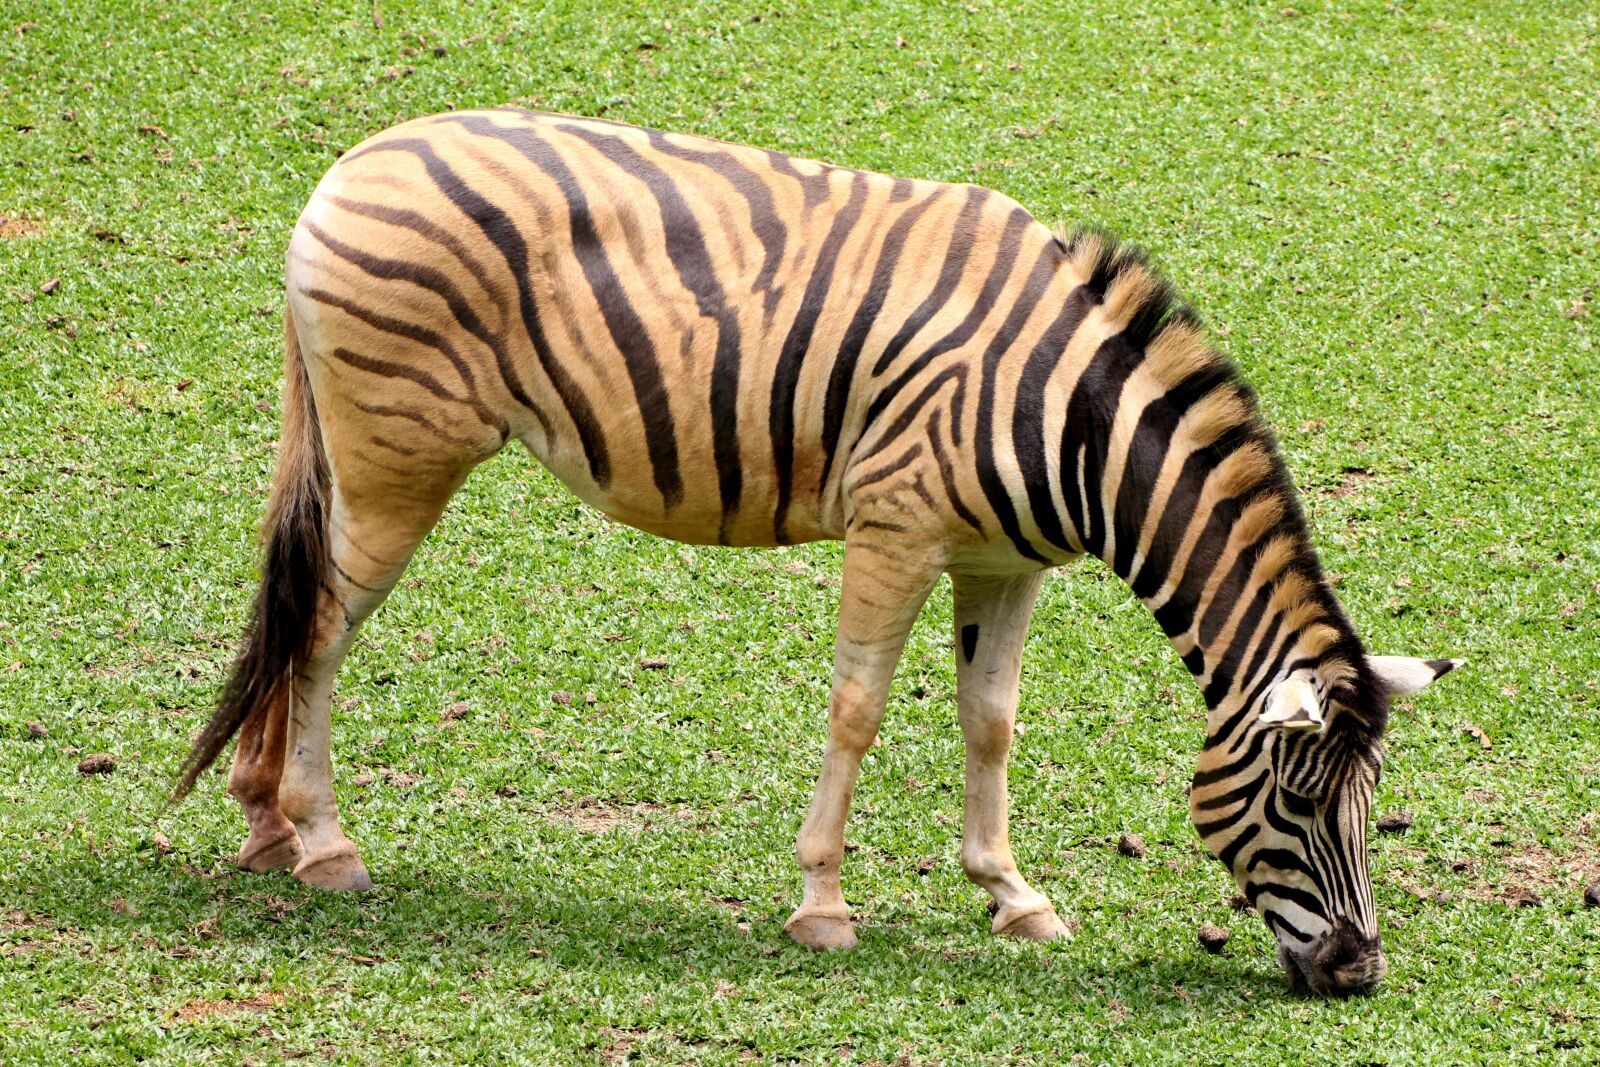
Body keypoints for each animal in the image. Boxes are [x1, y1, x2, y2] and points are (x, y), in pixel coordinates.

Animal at [171, 108, 1460, 997]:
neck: (1076, 421)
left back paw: (264, 823)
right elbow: (858, 708)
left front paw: (1012, 895)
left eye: (1372, 804)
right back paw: (323, 840)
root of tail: (355, 160)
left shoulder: (1004, 561)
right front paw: (822, 903)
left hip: (352, 446)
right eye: (1298, 800)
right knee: (321, 625)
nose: (1357, 973)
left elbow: (990, 719)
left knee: (295, 605)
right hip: (399, 454)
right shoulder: (898, 524)